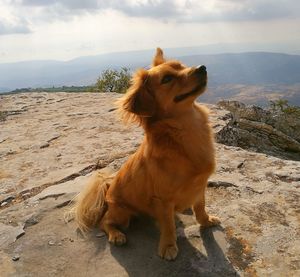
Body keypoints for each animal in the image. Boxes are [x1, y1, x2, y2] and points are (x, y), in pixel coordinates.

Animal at [73, 47, 220, 258]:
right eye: (167, 79)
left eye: (182, 66)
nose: (202, 67)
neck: (186, 128)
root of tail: (107, 188)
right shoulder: (163, 199)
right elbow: (168, 225)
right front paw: (168, 246)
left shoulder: (200, 185)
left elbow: (200, 207)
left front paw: (206, 221)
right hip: (122, 213)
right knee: (104, 222)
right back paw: (116, 235)